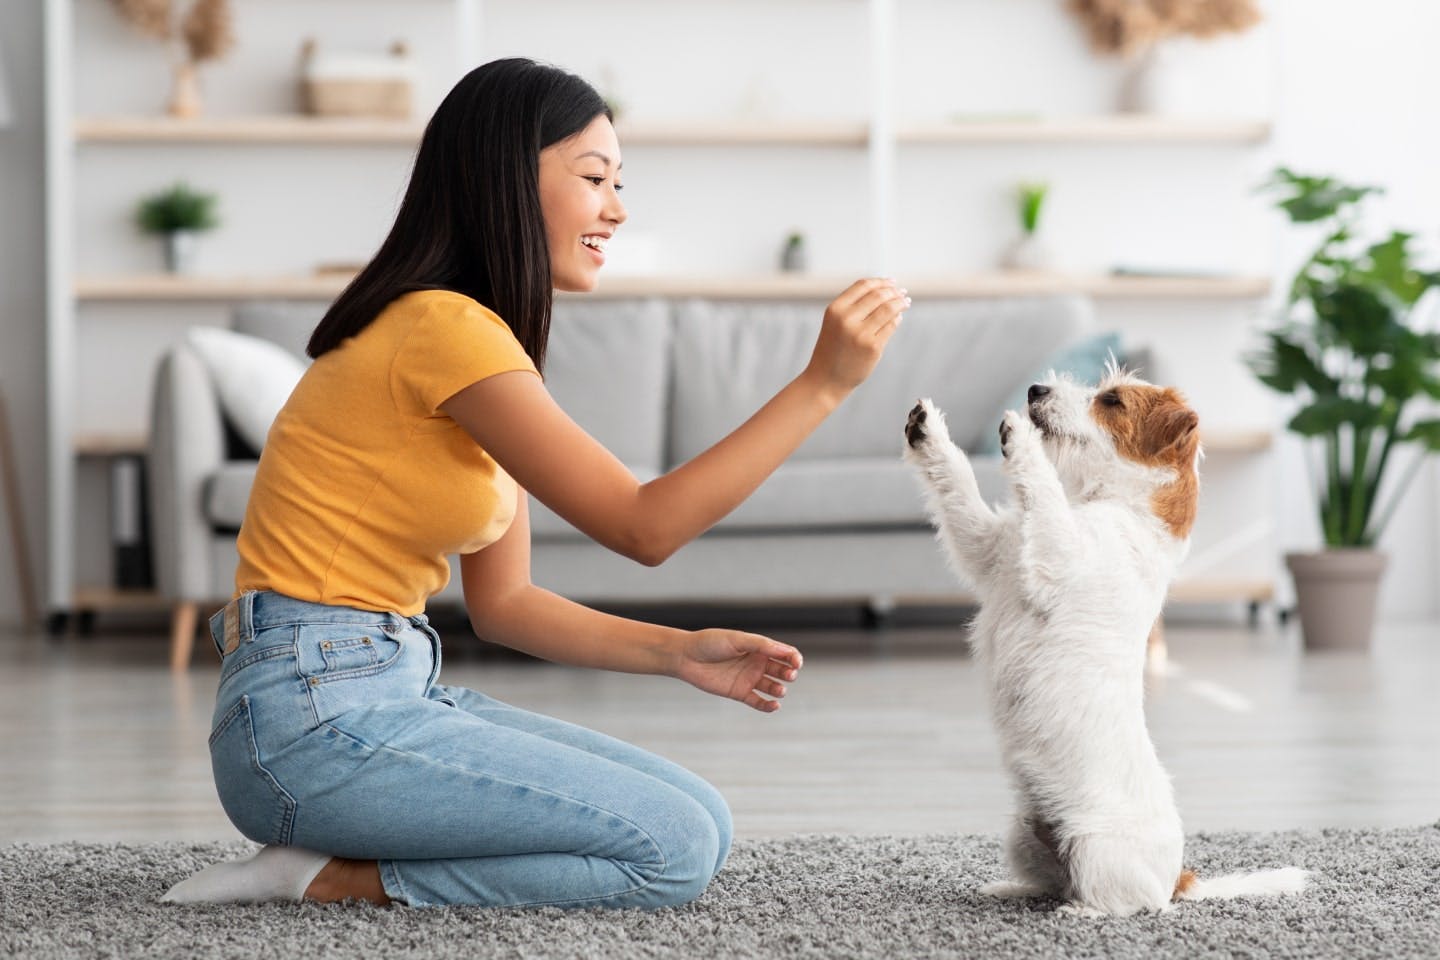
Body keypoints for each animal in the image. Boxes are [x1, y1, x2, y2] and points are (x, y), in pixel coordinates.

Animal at [898, 365, 1307, 915]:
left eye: (1111, 400)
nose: (1035, 390)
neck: (1115, 506)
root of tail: (1177, 880)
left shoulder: (1059, 554)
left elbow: (1044, 493)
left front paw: (1022, 439)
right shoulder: (988, 551)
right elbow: (960, 492)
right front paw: (928, 431)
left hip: (1095, 848)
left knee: (1125, 902)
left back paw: (1080, 912)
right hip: (1023, 832)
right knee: (1053, 880)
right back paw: (1012, 888)